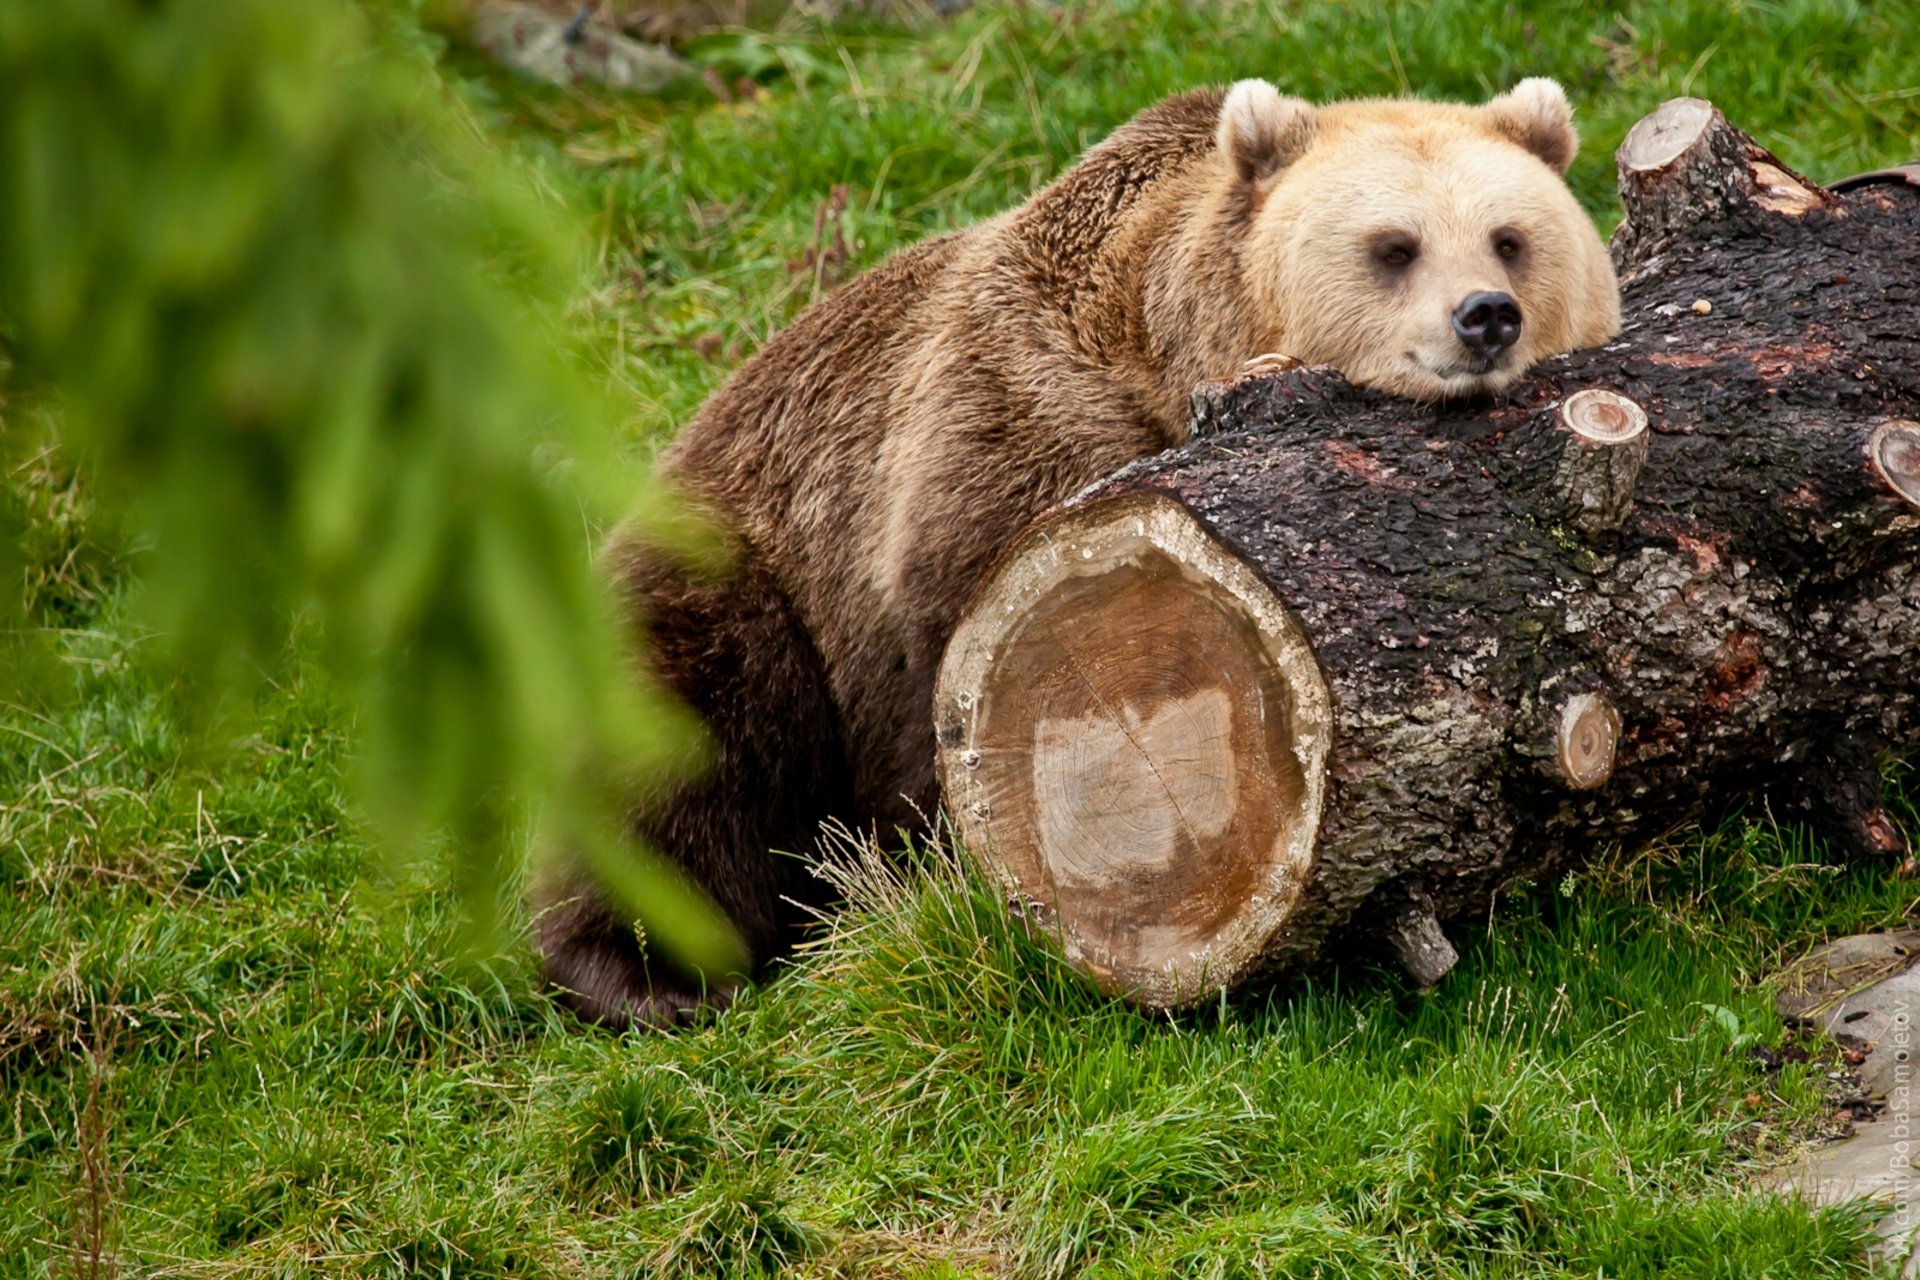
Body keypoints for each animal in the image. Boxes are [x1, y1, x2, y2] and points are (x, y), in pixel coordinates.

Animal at [537, 75, 1620, 1028]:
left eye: (1510, 238)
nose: (1484, 316)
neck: (1171, 356)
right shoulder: (1009, 438)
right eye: (1393, 246)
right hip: (740, 572)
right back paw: (649, 978)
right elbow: (947, 665)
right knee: (675, 744)